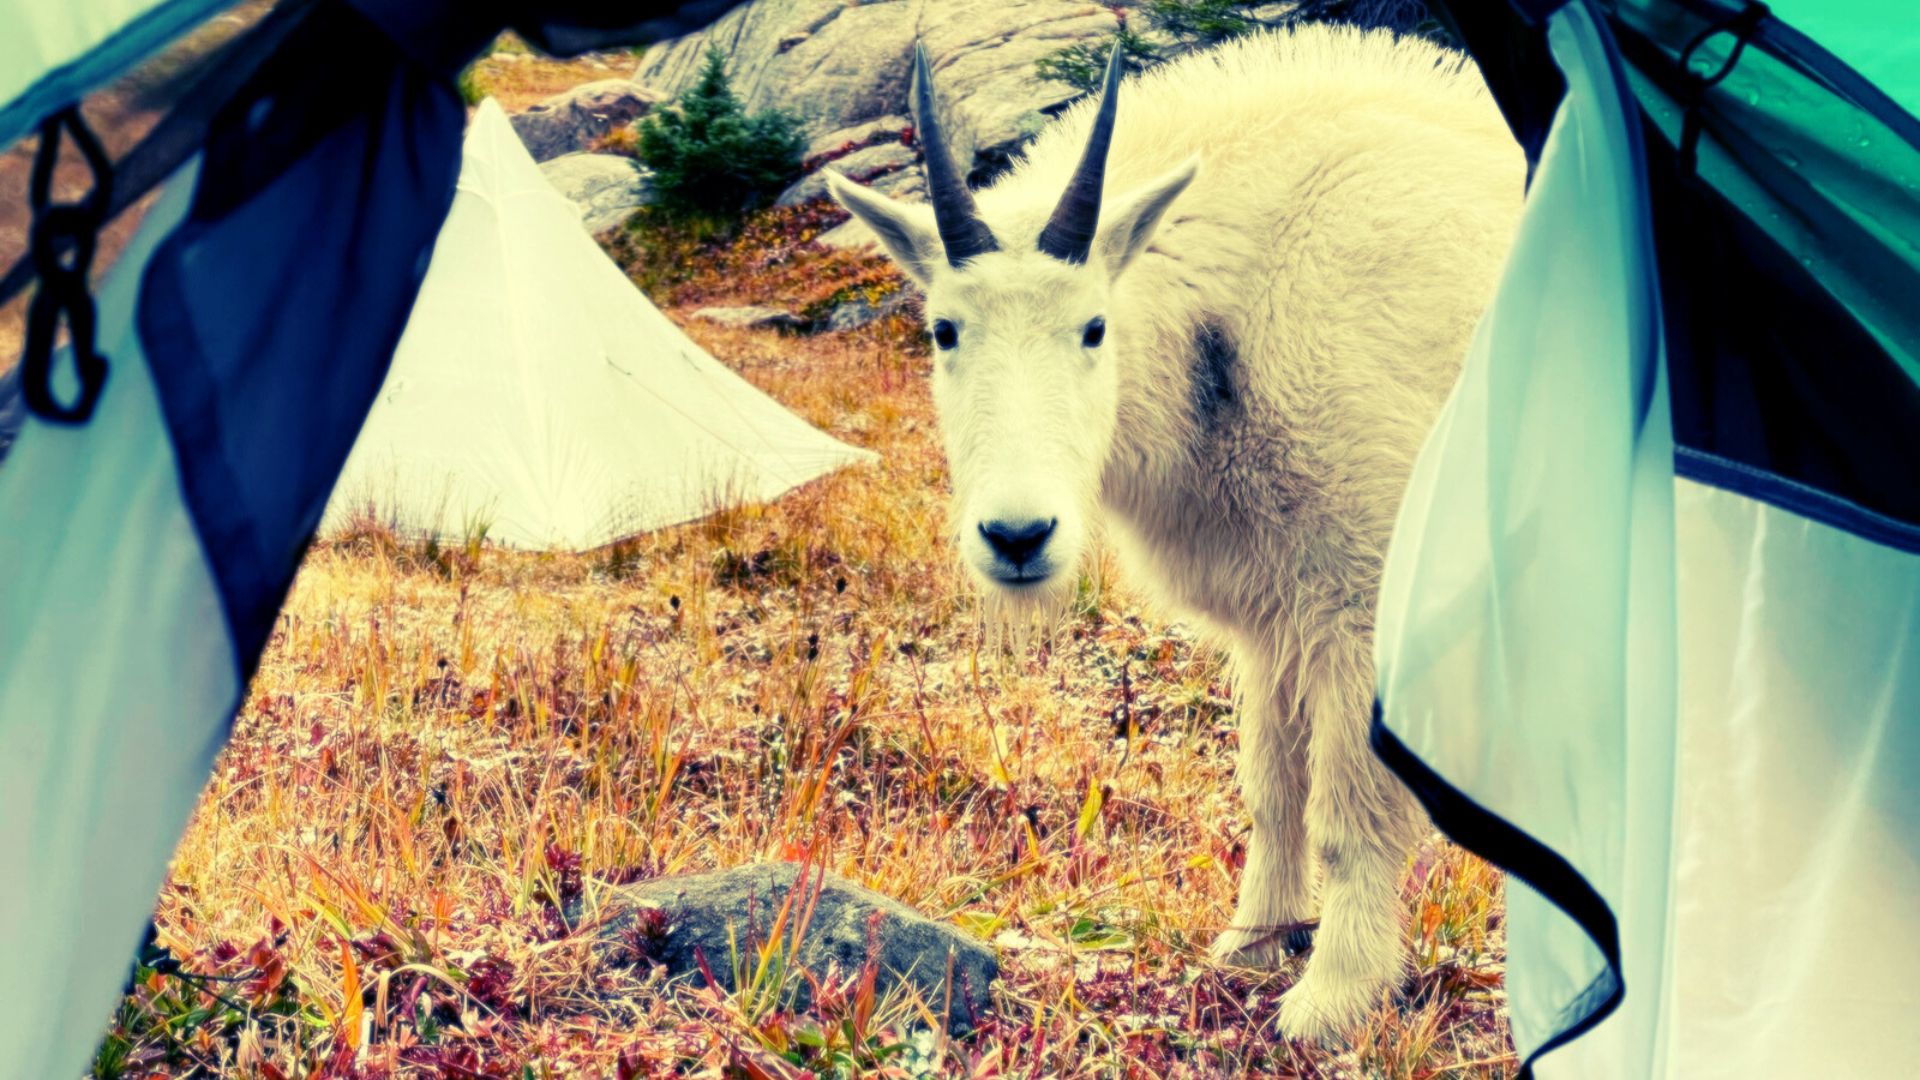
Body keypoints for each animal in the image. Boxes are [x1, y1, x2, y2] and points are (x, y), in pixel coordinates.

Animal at [833, 25, 1520, 1037]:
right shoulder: (1276, 611)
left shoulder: (1361, 598)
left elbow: (1349, 812)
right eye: (943, 331)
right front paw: (1255, 942)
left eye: (1093, 327)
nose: (1017, 537)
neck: (1236, 313)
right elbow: (1273, 788)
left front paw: (1332, 999)